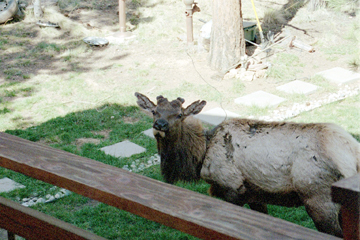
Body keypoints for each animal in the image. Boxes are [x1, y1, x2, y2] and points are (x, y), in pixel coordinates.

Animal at [135, 92, 360, 238]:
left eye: (180, 114)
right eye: (154, 111)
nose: (160, 125)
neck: (200, 156)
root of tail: (353, 152)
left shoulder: (232, 187)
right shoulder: (255, 193)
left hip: (319, 197)